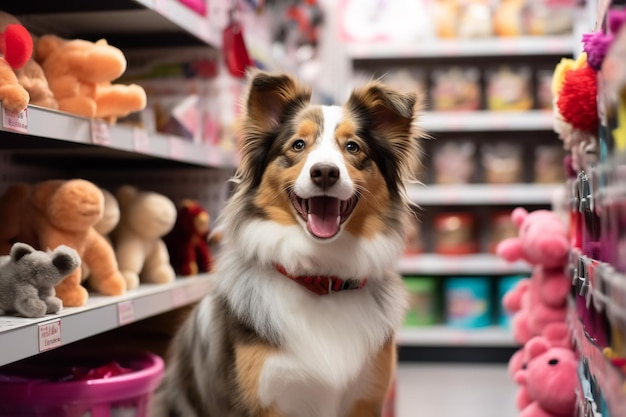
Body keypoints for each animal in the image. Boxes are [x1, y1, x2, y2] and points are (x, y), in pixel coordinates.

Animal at [151, 71, 424, 416]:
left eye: (352, 146)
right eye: (298, 144)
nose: (325, 172)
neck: (322, 278)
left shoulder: (366, 398)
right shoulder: (259, 402)